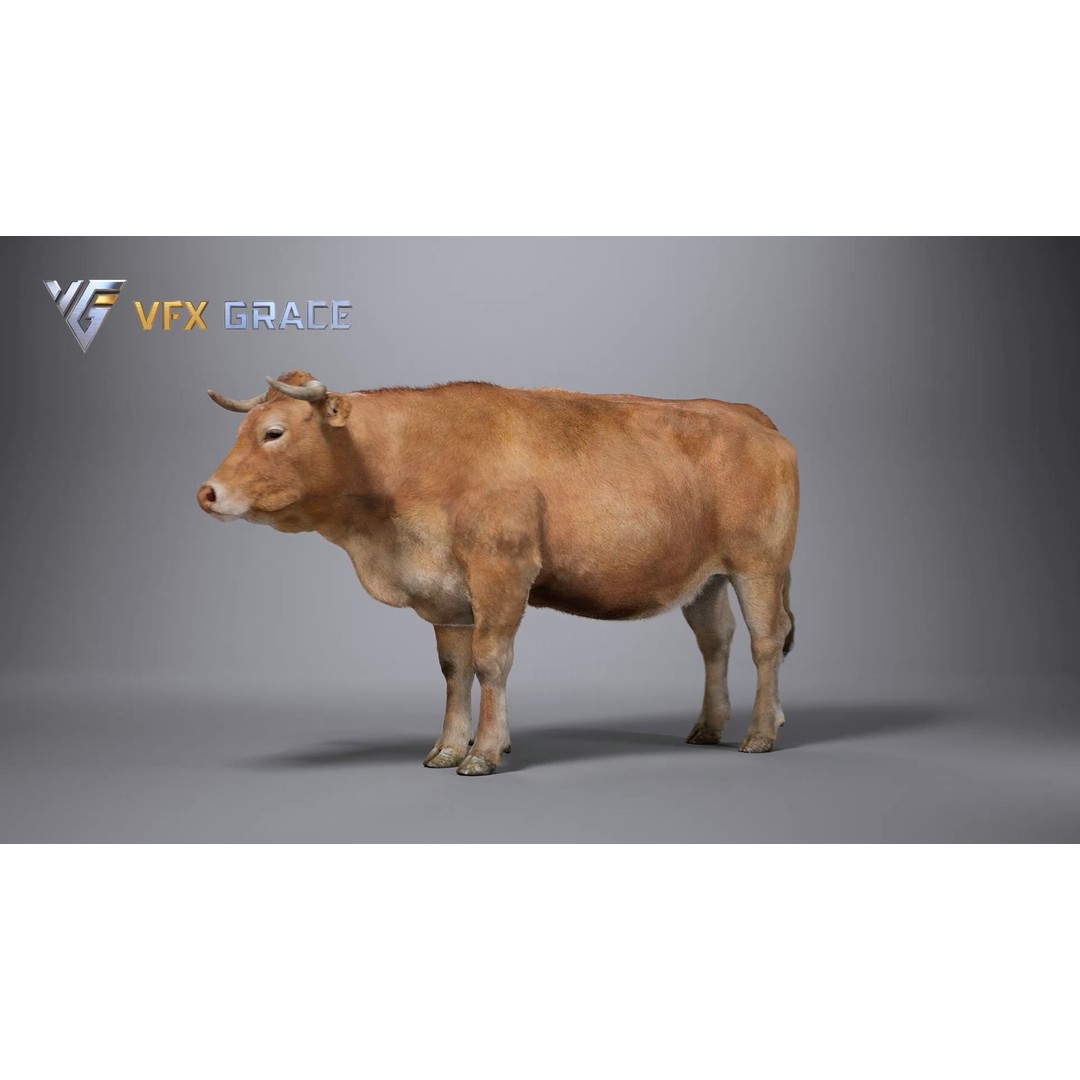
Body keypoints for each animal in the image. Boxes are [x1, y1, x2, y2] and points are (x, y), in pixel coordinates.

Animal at [197, 370, 799, 776]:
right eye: (244, 428)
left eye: (273, 433)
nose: (207, 492)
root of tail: (748, 414)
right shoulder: (443, 593)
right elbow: (453, 670)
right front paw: (446, 748)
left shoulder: (502, 571)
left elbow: (491, 661)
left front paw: (484, 752)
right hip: (705, 579)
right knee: (715, 640)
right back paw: (708, 727)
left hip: (759, 565)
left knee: (765, 641)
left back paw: (760, 733)